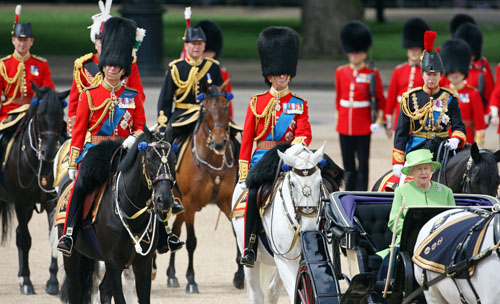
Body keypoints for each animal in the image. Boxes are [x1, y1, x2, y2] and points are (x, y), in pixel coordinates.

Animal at [0, 83, 68, 294]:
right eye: (41, 113)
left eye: (60, 114)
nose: (50, 152)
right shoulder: (21, 202)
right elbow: (25, 240)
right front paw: (27, 281)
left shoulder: (52, 202)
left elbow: (52, 238)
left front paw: (52, 281)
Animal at [58, 128, 177, 304]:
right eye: (149, 159)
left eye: (173, 160)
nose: (165, 199)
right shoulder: (113, 262)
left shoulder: (143, 263)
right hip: (73, 257)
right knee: (76, 291)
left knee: (103, 290)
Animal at [166, 81, 244, 292]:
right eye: (205, 108)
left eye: (225, 107)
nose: (219, 143)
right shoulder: (190, 204)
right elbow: (192, 241)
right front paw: (191, 280)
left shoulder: (227, 202)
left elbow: (237, 235)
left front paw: (239, 276)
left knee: (175, 232)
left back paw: (171, 275)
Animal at [232, 144, 326, 302]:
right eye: (292, 184)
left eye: (319, 181)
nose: (309, 228)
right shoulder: (285, 260)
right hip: (250, 257)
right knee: (257, 294)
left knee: (272, 291)